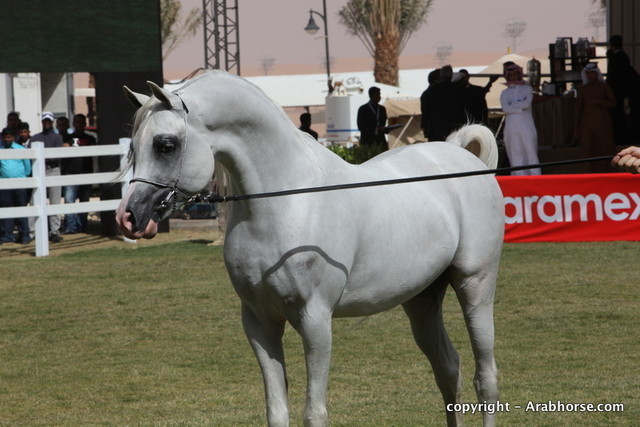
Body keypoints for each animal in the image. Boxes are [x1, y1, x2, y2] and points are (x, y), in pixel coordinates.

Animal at [116, 70, 504, 427]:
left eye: (165, 145)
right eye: (133, 147)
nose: (129, 217)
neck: (289, 201)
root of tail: (459, 155)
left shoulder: (316, 320)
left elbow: (314, 413)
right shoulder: (259, 323)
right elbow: (277, 411)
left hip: (475, 287)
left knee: (485, 379)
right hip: (421, 300)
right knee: (448, 370)